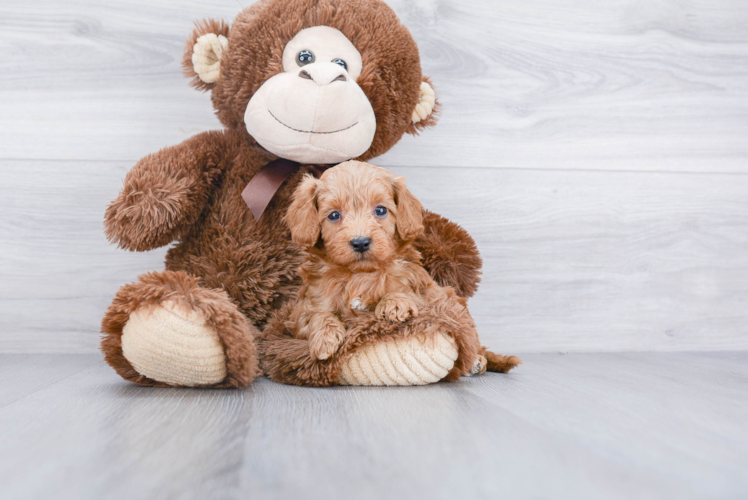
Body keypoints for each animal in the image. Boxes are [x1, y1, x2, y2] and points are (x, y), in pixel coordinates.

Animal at [284, 161, 488, 364]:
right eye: (334, 215)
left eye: (380, 210)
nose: (360, 242)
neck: (360, 274)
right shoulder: (300, 311)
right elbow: (317, 315)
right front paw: (325, 338)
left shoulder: (427, 295)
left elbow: (405, 291)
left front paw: (395, 303)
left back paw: (477, 361)